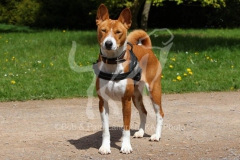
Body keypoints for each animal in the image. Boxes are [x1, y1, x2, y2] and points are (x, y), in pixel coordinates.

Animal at [93, 3, 164, 154]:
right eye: (103, 30)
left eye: (118, 32)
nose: (108, 43)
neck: (113, 64)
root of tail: (147, 48)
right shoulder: (103, 102)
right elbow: (105, 130)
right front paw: (105, 147)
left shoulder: (126, 101)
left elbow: (125, 128)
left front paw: (125, 146)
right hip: (136, 96)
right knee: (144, 112)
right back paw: (141, 132)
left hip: (154, 91)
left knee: (160, 113)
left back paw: (156, 135)